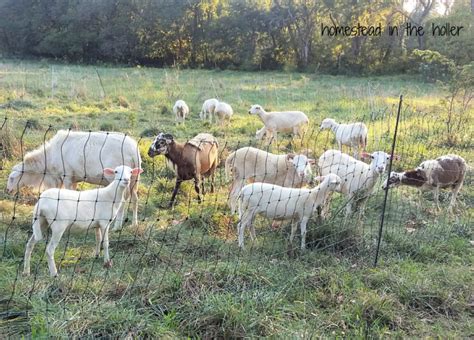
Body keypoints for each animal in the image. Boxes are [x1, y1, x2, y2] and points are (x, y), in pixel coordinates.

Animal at [6, 130, 142, 231]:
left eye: (12, 178)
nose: (7, 190)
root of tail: (133, 150)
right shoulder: (73, 179)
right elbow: (75, 195)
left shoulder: (66, 176)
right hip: (134, 179)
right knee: (135, 199)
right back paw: (134, 223)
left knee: (123, 201)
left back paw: (117, 226)